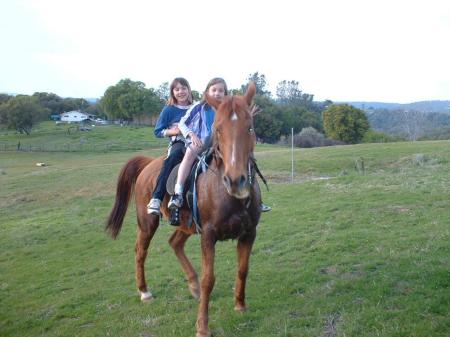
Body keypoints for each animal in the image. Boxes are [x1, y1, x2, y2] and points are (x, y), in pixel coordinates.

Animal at [105, 82, 260, 336]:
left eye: (250, 128)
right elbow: (209, 279)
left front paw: (240, 305)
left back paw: (192, 285)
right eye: (218, 130)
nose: (236, 181)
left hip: (187, 225)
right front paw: (202, 327)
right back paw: (145, 291)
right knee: (140, 251)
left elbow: (243, 269)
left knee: (174, 243)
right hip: (147, 222)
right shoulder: (208, 235)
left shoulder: (249, 233)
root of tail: (148, 164)